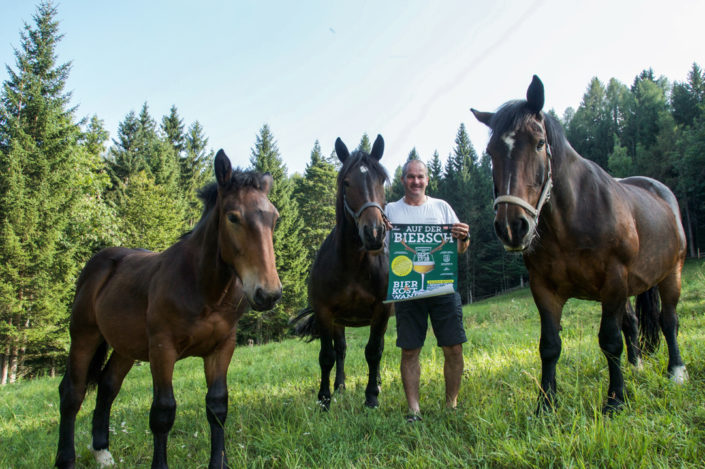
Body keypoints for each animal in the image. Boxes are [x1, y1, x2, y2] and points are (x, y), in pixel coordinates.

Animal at [55, 150, 280, 468]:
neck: (204, 289)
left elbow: (217, 407)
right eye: (233, 217)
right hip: (84, 336)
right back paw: (66, 458)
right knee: (72, 393)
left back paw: (101, 452)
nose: (267, 293)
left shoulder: (222, 347)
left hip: (126, 347)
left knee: (108, 387)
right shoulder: (162, 349)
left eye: (275, 219)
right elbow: (163, 411)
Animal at [290, 133, 390, 408]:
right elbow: (328, 355)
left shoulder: (382, 310)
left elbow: (373, 350)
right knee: (341, 349)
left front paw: (371, 396)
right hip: (338, 321)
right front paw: (324, 399)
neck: (354, 264)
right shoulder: (326, 313)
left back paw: (377, 382)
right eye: (346, 183)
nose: (374, 233)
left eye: (382, 180)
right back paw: (340, 385)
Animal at [470, 75, 684, 412]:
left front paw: (615, 400)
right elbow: (549, 345)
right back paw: (637, 367)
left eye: (539, 143)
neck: (571, 220)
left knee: (668, 319)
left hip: (670, 272)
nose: (512, 227)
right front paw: (546, 403)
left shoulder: (614, 281)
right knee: (633, 322)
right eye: (492, 152)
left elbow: (610, 341)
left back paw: (675, 371)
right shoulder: (544, 289)